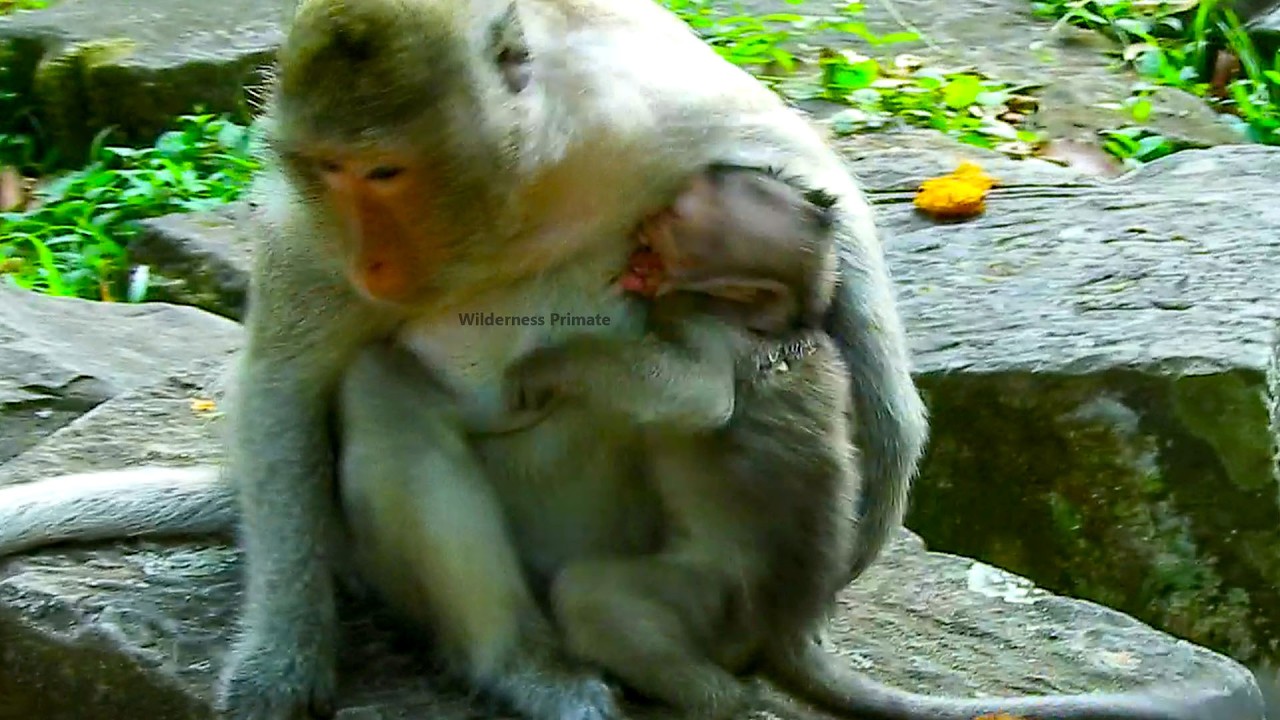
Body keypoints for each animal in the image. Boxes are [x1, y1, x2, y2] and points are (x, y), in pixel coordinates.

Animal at [0, 0, 1264, 719]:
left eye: (387, 173)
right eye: (328, 170)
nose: (374, 253)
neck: (507, 196)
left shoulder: (645, 105)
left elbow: (812, 182)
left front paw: (879, 468)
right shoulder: (312, 238)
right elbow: (285, 384)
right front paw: (281, 663)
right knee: (378, 394)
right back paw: (523, 666)